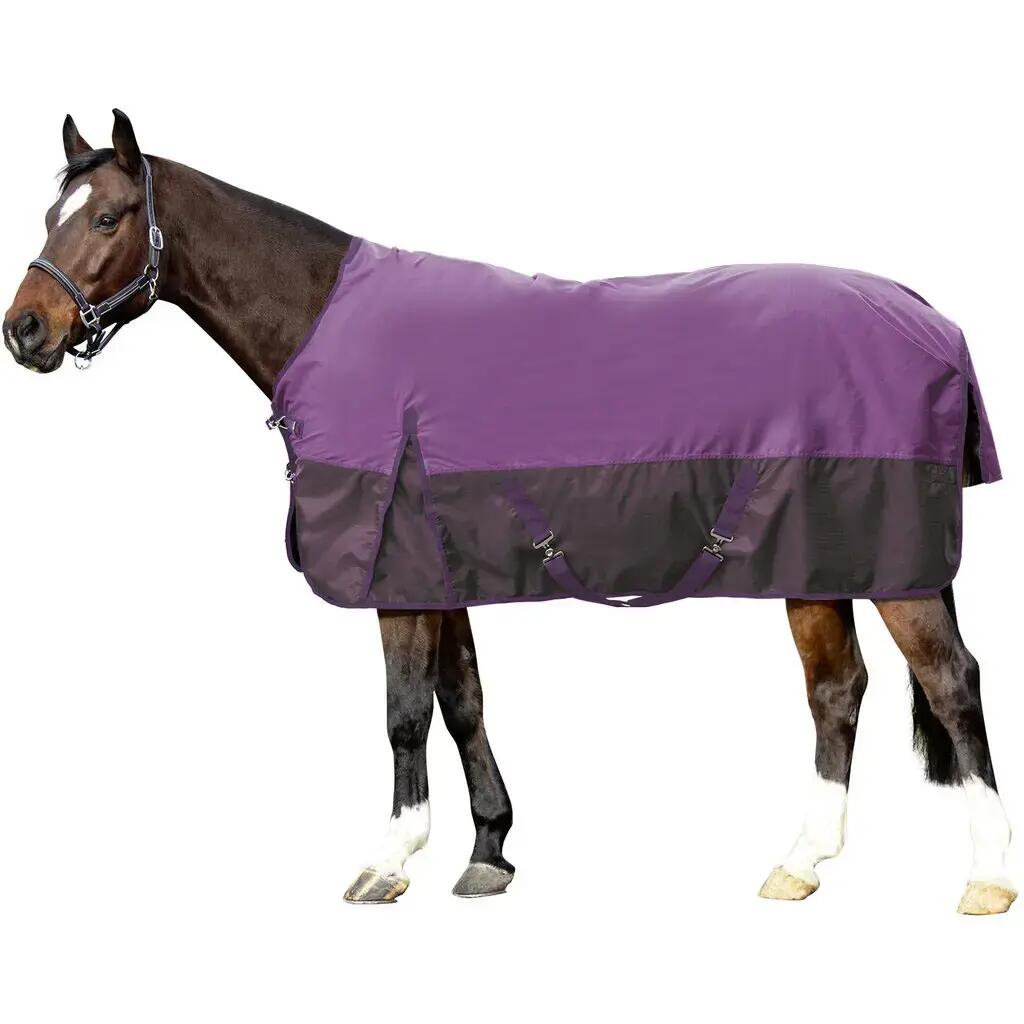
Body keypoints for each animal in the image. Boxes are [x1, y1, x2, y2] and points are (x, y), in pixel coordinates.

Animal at [3, 110, 1015, 914]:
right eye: (50, 215)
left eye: (107, 216)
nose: (26, 330)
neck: (333, 325)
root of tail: (929, 317)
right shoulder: (440, 566)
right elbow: (463, 702)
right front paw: (489, 851)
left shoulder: (398, 572)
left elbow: (404, 711)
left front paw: (389, 861)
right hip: (819, 558)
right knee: (837, 690)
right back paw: (801, 863)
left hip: (892, 563)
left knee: (950, 683)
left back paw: (987, 878)